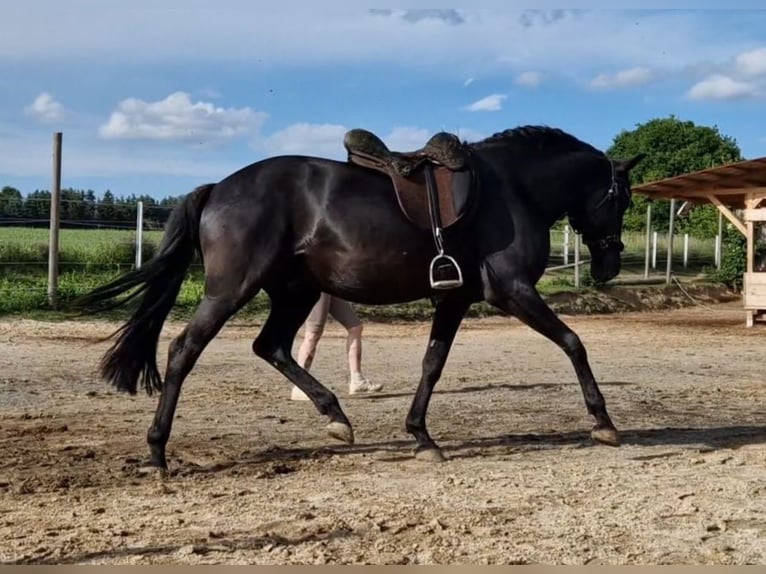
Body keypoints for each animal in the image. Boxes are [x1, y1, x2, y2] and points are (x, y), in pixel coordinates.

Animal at [75, 125, 644, 468]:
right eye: (621, 200)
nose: (609, 265)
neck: (511, 189)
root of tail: (219, 188)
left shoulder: (455, 299)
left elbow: (432, 363)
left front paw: (421, 437)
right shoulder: (513, 291)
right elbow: (573, 343)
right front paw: (604, 423)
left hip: (295, 291)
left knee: (271, 347)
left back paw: (336, 418)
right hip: (232, 289)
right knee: (183, 350)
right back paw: (157, 452)